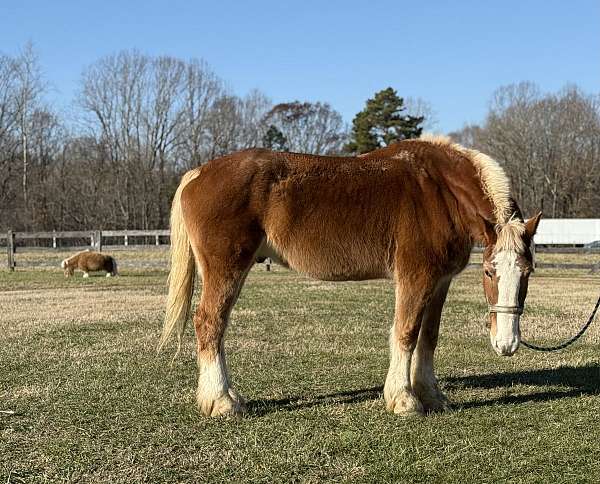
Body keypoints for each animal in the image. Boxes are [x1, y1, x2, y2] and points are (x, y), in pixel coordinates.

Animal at [157, 135, 540, 416]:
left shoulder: (440, 281)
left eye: (528, 272)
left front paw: (431, 396)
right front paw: (404, 400)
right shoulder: (415, 278)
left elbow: (428, 337)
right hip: (227, 268)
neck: (440, 190)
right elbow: (406, 333)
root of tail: (199, 173)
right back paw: (221, 401)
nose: (507, 344)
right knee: (210, 322)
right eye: (489, 272)